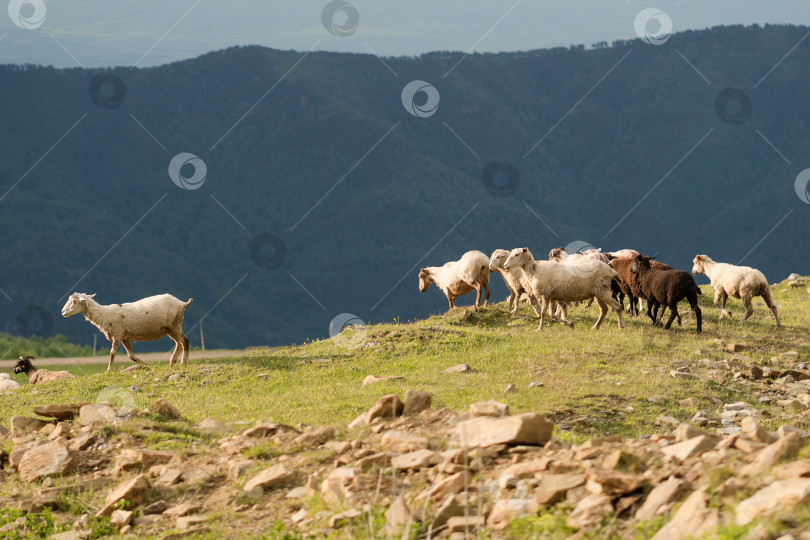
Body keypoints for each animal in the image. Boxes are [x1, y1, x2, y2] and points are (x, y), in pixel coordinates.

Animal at [61, 292, 193, 372]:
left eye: (74, 302)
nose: (62, 312)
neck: (103, 314)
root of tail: (182, 303)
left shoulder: (117, 335)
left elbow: (112, 353)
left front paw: (109, 370)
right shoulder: (125, 337)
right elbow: (131, 356)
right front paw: (148, 365)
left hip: (175, 324)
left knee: (185, 341)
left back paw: (183, 363)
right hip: (169, 329)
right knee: (178, 344)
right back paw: (172, 362)